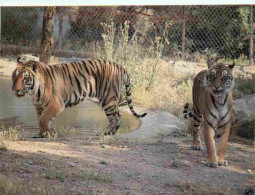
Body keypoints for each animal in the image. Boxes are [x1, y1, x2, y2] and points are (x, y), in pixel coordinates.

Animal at [11, 57, 146, 138]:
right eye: (15, 76)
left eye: (25, 78)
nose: (15, 90)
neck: (33, 91)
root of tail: (120, 66)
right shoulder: (39, 106)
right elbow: (41, 120)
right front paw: (42, 133)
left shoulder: (56, 104)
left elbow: (43, 119)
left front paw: (49, 133)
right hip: (111, 100)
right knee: (119, 116)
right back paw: (111, 133)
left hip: (108, 99)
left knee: (115, 118)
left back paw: (104, 133)